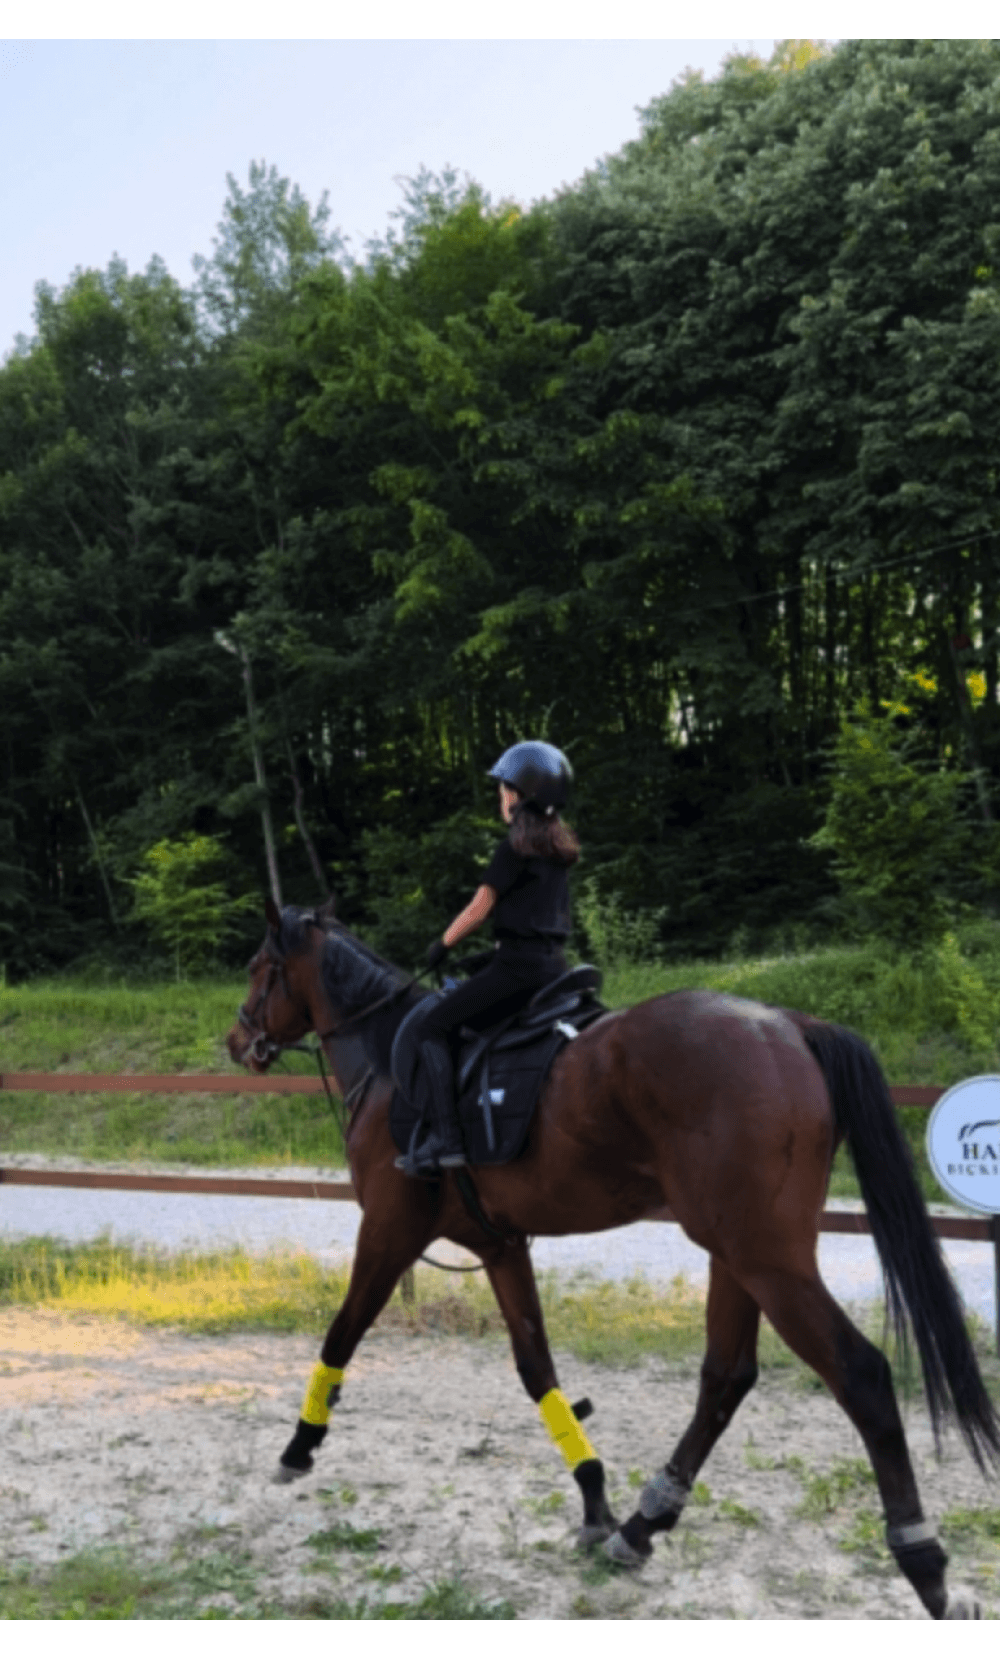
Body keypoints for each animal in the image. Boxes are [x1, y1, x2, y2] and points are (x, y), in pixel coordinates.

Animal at [228, 895, 1000, 1618]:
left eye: (259, 968)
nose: (237, 1039)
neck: (391, 1057)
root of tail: (788, 1023)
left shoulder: (388, 1232)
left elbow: (342, 1334)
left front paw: (300, 1444)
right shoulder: (500, 1245)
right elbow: (537, 1369)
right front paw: (594, 1497)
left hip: (768, 1260)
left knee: (860, 1375)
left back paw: (925, 1565)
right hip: (737, 1253)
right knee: (726, 1377)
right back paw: (642, 1524)